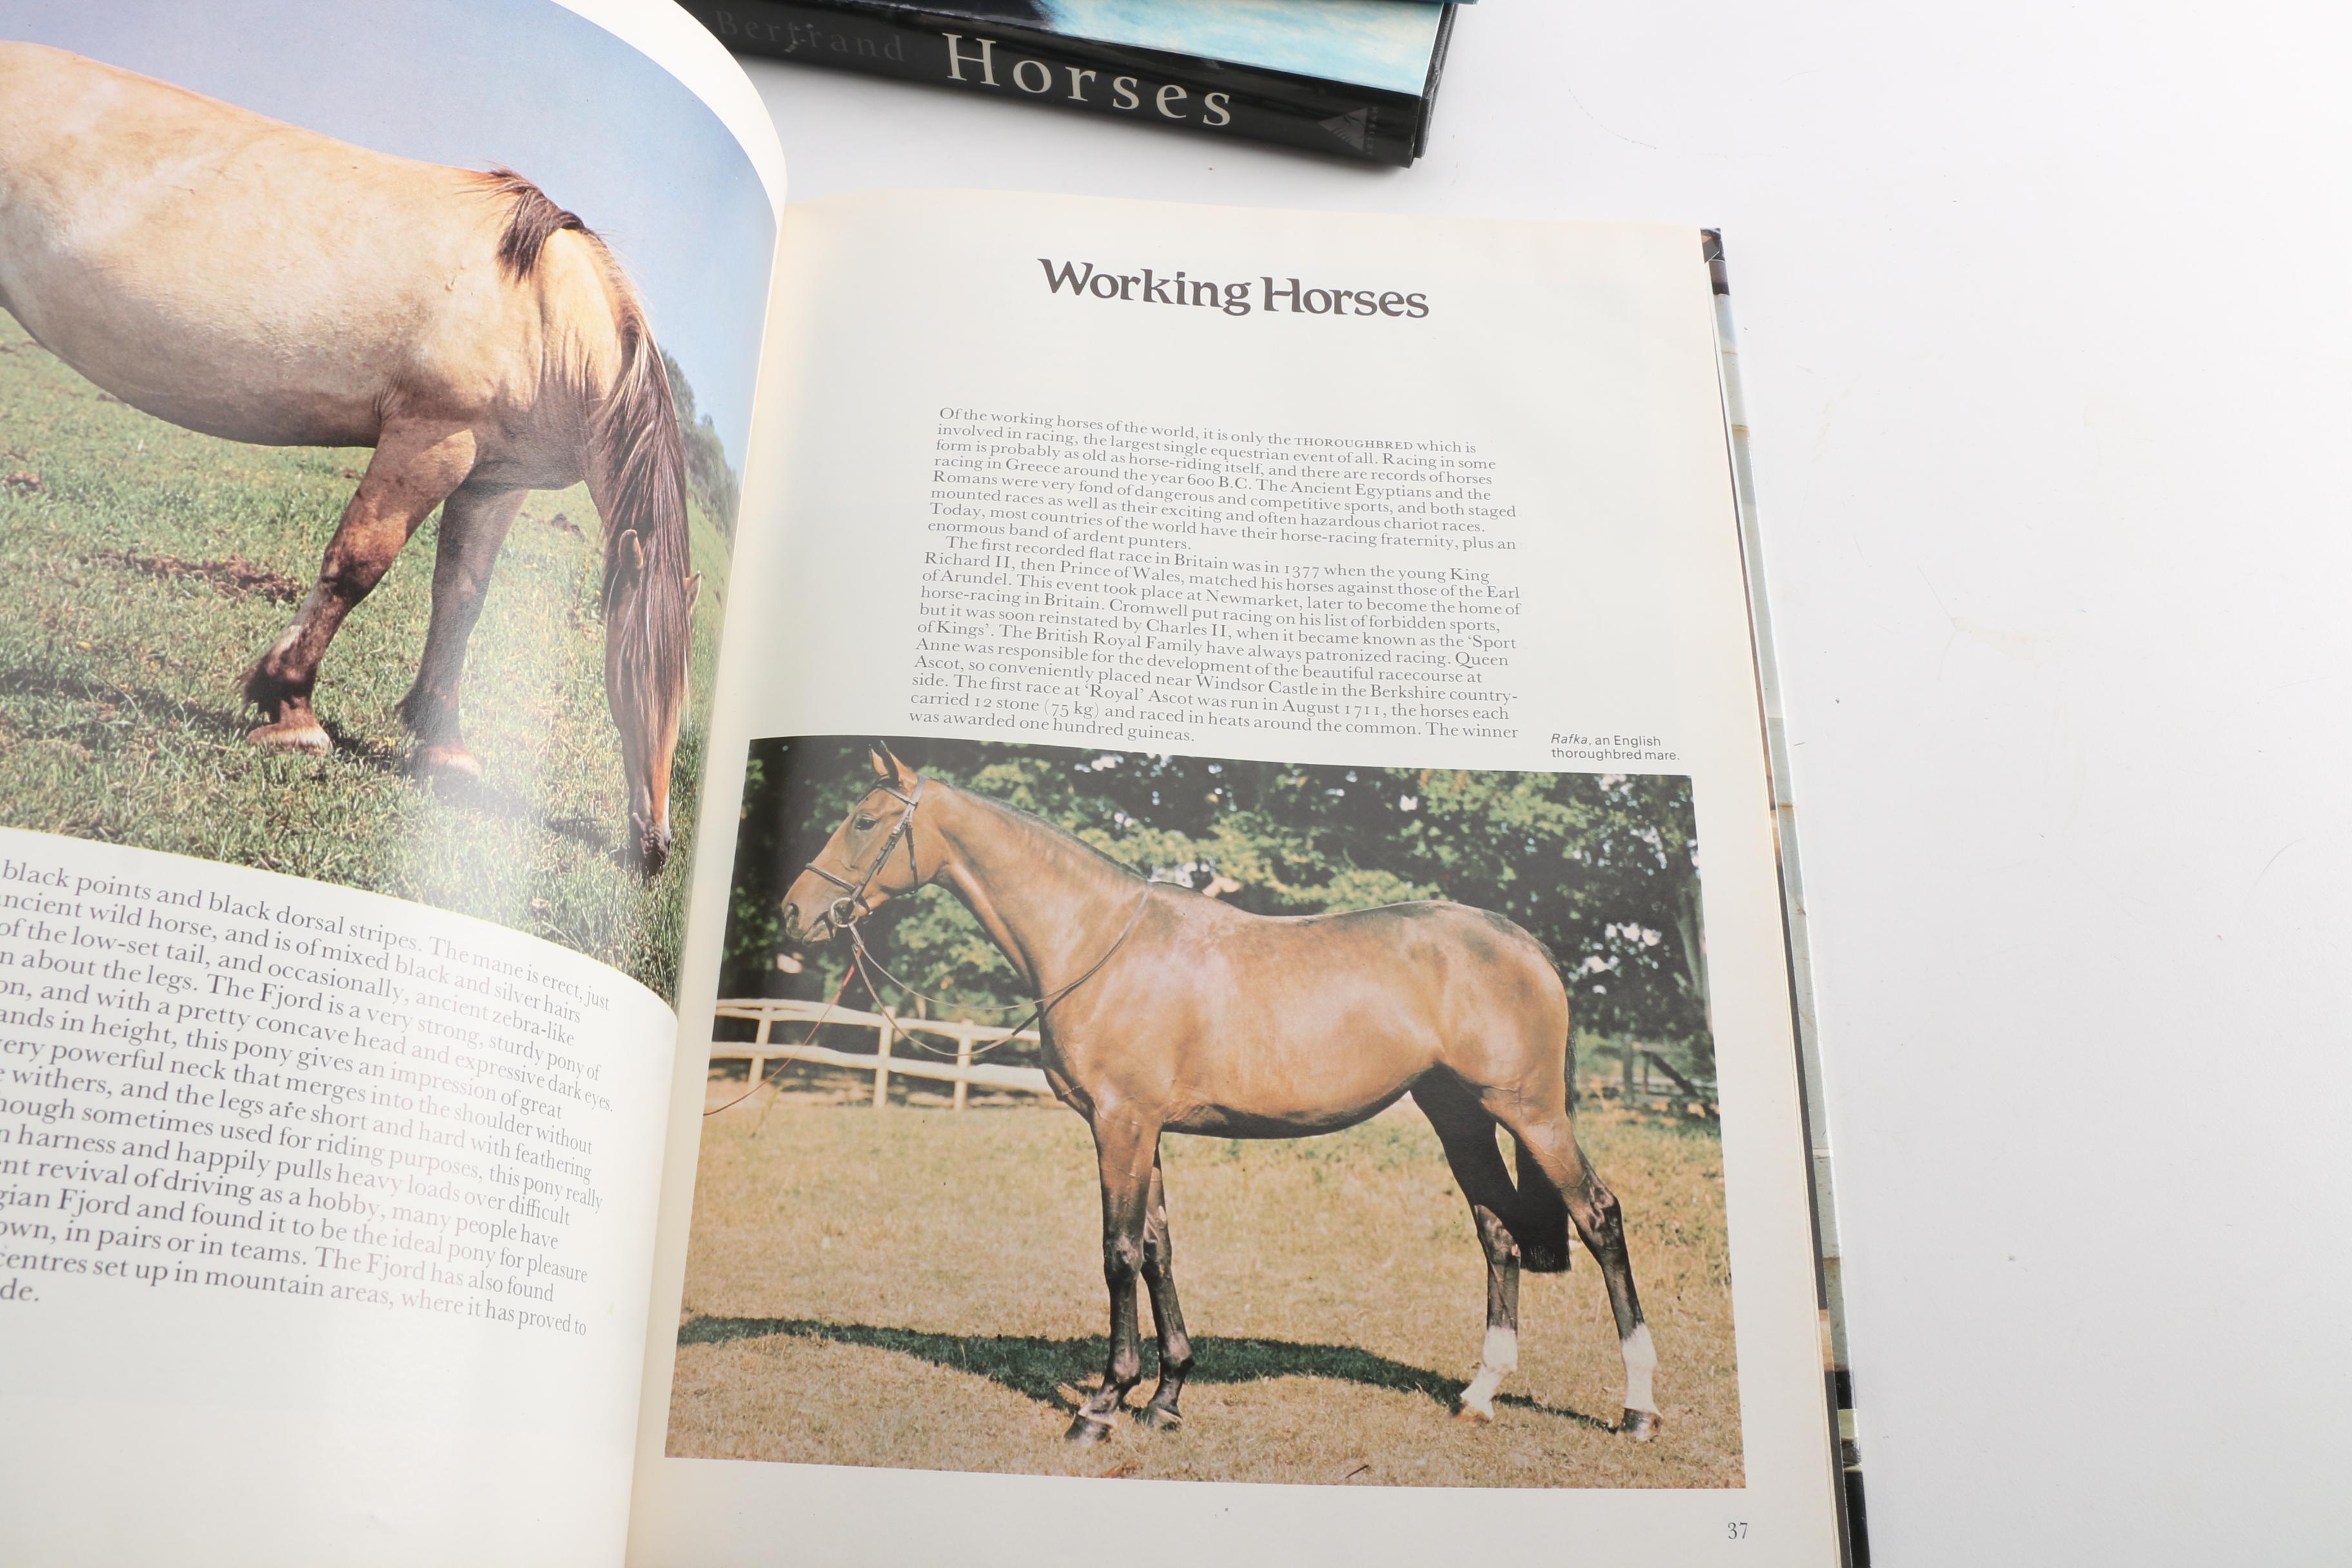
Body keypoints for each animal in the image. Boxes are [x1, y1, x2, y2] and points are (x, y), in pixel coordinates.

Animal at [0, 43, 698, 872]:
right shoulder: (430, 441)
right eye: (628, 669)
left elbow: (462, 599)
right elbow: (356, 568)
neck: (544, 310)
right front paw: (292, 707)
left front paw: (445, 746)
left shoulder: (493, 482)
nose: (655, 848)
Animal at [779, 744, 1662, 1446]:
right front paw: (1166, 1397)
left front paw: (1103, 1402)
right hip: (1460, 1115)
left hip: (1531, 1112)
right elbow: (1160, 1249)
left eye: (865, 820)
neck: (1097, 942)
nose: (796, 911)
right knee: (1498, 1232)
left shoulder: (1120, 1124)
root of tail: (1520, 940)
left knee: (1600, 1217)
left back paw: (1639, 1408)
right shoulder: (1146, 1130)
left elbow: (1119, 1251)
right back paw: (1480, 1393)